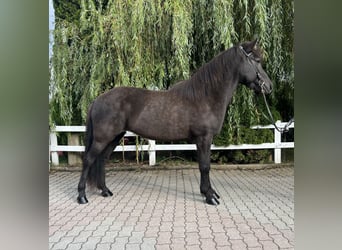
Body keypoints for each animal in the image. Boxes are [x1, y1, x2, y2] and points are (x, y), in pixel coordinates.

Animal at [77, 39, 272, 205]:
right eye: (256, 60)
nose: (269, 86)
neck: (205, 96)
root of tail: (97, 100)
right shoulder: (204, 138)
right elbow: (205, 166)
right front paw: (209, 196)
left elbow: (205, 166)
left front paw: (210, 193)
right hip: (103, 138)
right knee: (88, 159)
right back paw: (82, 196)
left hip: (116, 137)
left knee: (102, 160)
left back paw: (105, 191)